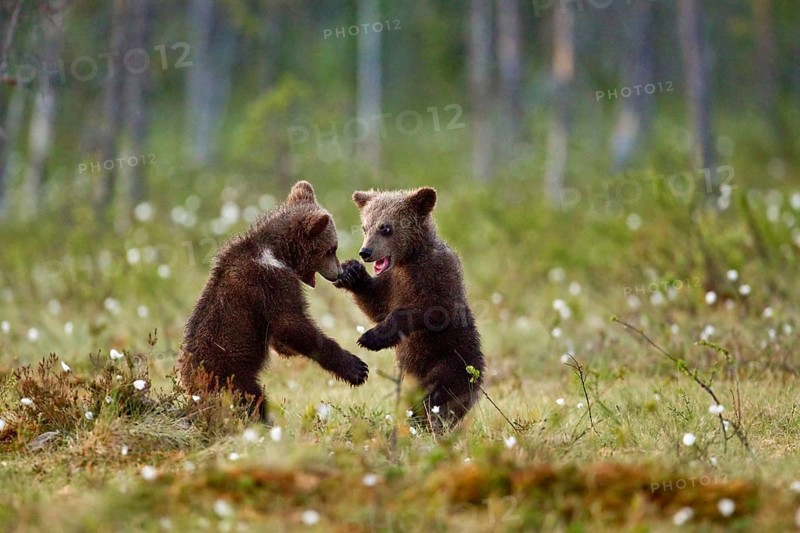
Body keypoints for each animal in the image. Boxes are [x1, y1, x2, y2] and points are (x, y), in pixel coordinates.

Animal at [178, 181, 369, 420]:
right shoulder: (271, 282)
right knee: (253, 401)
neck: (277, 252)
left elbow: (281, 338)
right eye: (331, 248)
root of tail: (191, 386)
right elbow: (290, 324)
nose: (338, 272)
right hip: (230, 376)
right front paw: (356, 367)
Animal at [334, 186, 485, 430]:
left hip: (453, 361)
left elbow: (430, 310)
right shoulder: (393, 283)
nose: (365, 252)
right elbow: (376, 305)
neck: (409, 260)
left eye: (385, 228)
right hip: (410, 377)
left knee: (439, 394)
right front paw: (351, 272)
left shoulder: (439, 276)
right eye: (365, 226)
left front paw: (370, 338)